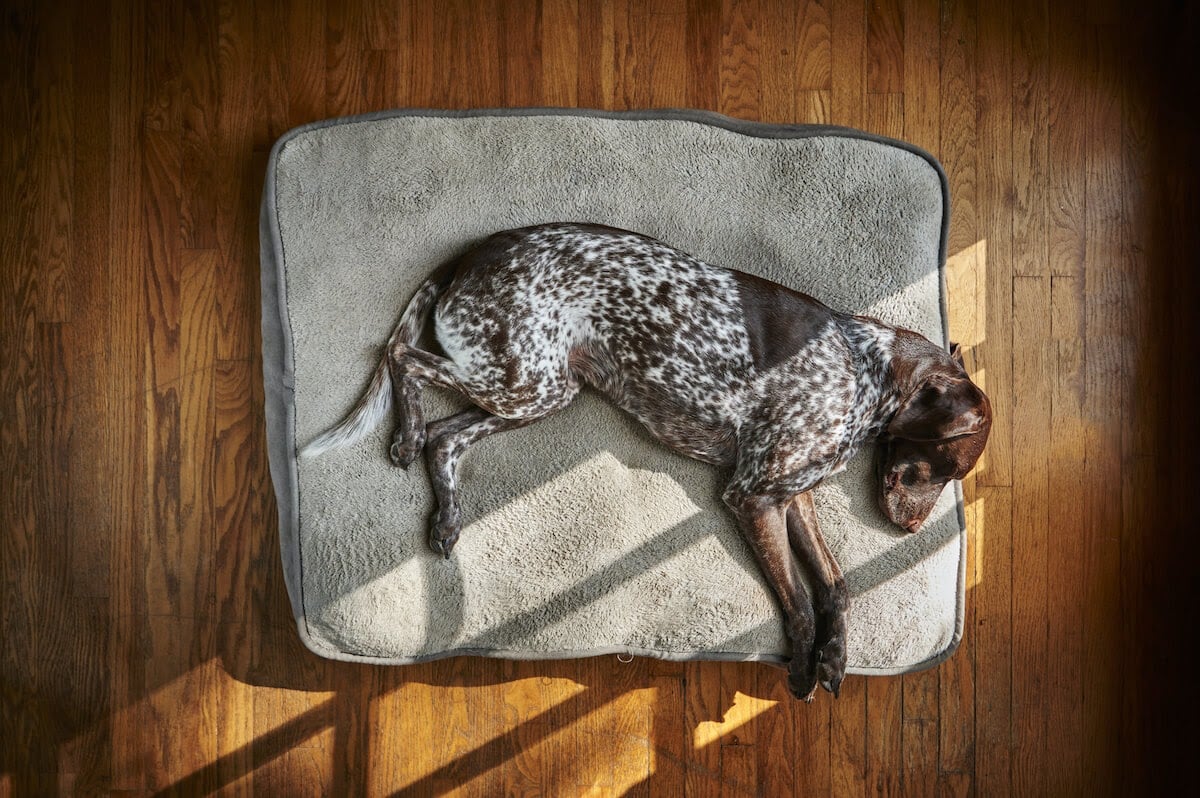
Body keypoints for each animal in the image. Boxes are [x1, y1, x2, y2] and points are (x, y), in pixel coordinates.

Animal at [302, 222, 993, 696]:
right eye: (943, 467)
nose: (911, 531)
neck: (862, 370)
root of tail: (473, 253)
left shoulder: (791, 497)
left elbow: (836, 585)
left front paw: (835, 658)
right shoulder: (753, 497)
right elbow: (799, 601)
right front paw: (802, 667)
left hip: (538, 390)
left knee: (445, 437)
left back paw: (445, 516)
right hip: (522, 380)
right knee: (402, 360)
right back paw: (404, 433)